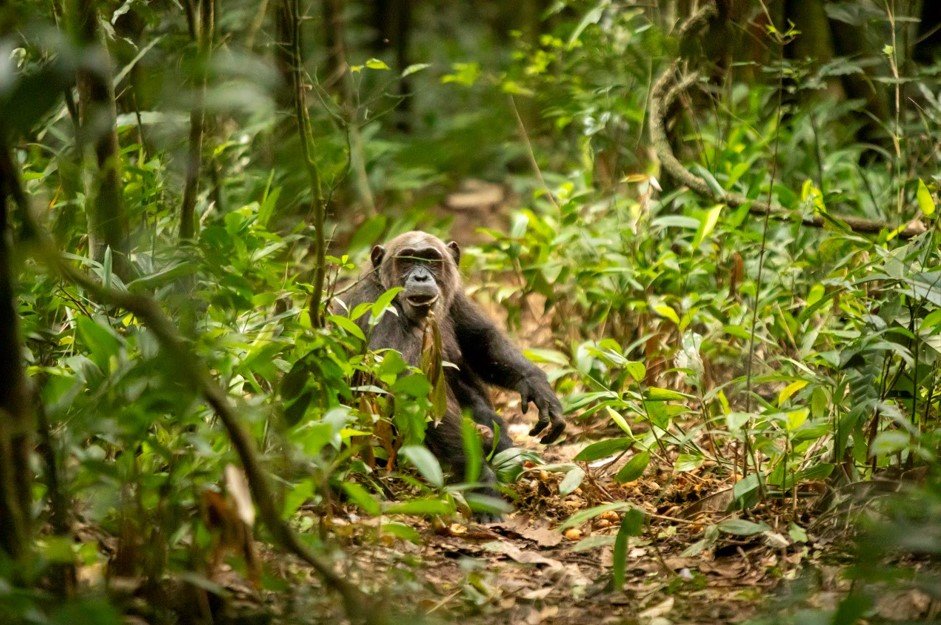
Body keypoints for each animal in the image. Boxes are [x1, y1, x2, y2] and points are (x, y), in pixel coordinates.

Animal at [337, 231, 565, 502]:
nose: (420, 276)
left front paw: (538, 387)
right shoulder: (381, 310)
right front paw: (482, 483)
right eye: (407, 260)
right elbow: (416, 394)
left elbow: (481, 341)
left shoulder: (456, 297)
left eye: (431, 260)